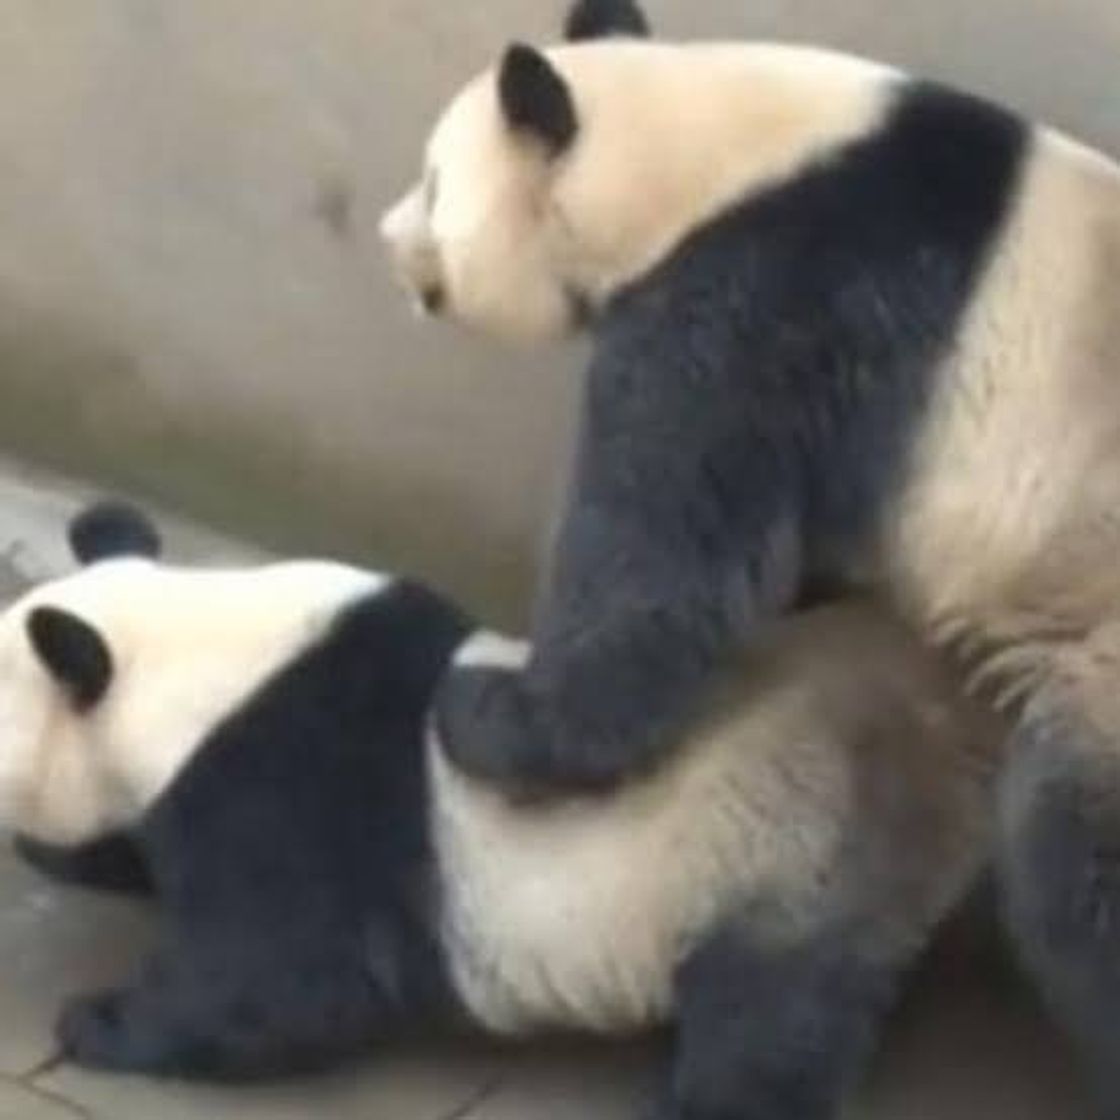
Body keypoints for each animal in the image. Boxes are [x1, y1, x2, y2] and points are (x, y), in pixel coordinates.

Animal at [2, 500, 1000, 1117]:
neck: (195, 657)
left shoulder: (294, 780)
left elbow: (288, 975)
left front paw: (99, 1022)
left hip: (792, 843)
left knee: (770, 1014)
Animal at [379, 0, 1120, 1101]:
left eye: (435, 183)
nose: (391, 239)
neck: (712, 152)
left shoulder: (774, 294)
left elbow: (669, 558)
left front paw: (491, 714)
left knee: (1069, 859)